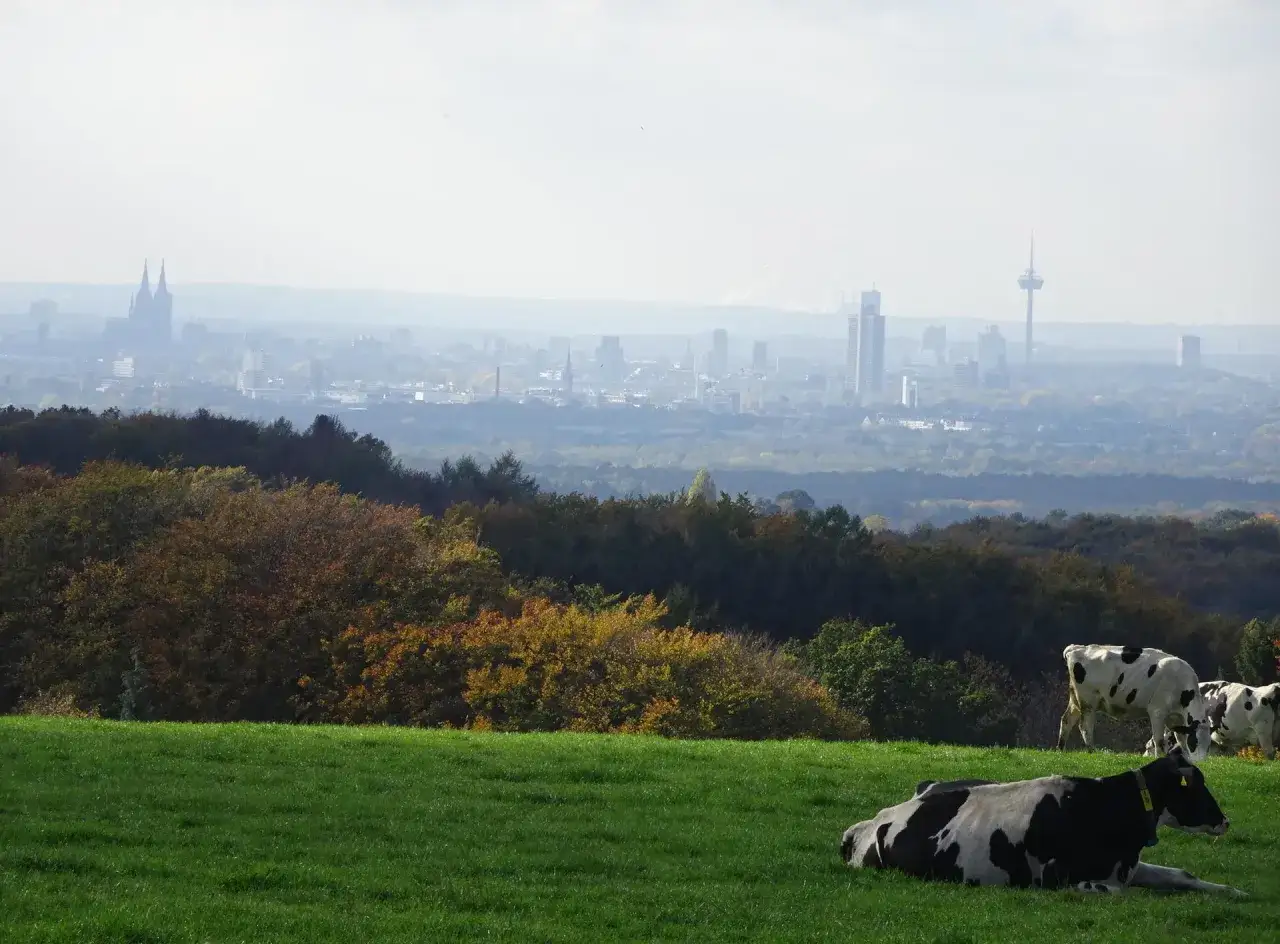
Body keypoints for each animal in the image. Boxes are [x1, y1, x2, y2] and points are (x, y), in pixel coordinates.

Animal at [840, 747, 1244, 896]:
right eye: (1197, 787)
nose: (1225, 821)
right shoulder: (1056, 875)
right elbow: (1116, 892)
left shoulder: (1125, 867)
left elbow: (1182, 875)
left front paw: (1235, 892)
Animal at [1057, 644, 1211, 760]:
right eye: (1194, 741)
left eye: (1209, 744)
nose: (1200, 761)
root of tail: (1078, 648)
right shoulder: (1157, 711)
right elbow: (1159, 740)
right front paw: (1159, 757)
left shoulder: (1175, 719)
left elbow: (1180, 740)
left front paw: (1184, 757)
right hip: (1088, 701)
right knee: (1085, 726)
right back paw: (1091, 750)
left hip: (1075, 700)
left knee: (1066, 720)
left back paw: (1060, 749)